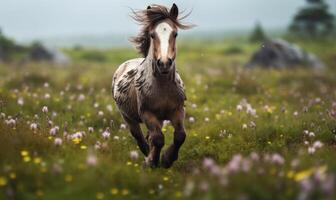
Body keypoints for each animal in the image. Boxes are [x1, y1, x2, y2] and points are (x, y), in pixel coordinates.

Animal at [112, 3, 193, 168]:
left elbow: (180, 135)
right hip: (128, 118)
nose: (164, 63)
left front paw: (168, 159)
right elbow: (158, 139)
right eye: (152, 35)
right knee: (140, 138)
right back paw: (147, 156)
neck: (162, 88)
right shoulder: (147, 114)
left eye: (175, 34)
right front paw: (154, 161)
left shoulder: (178, 110)